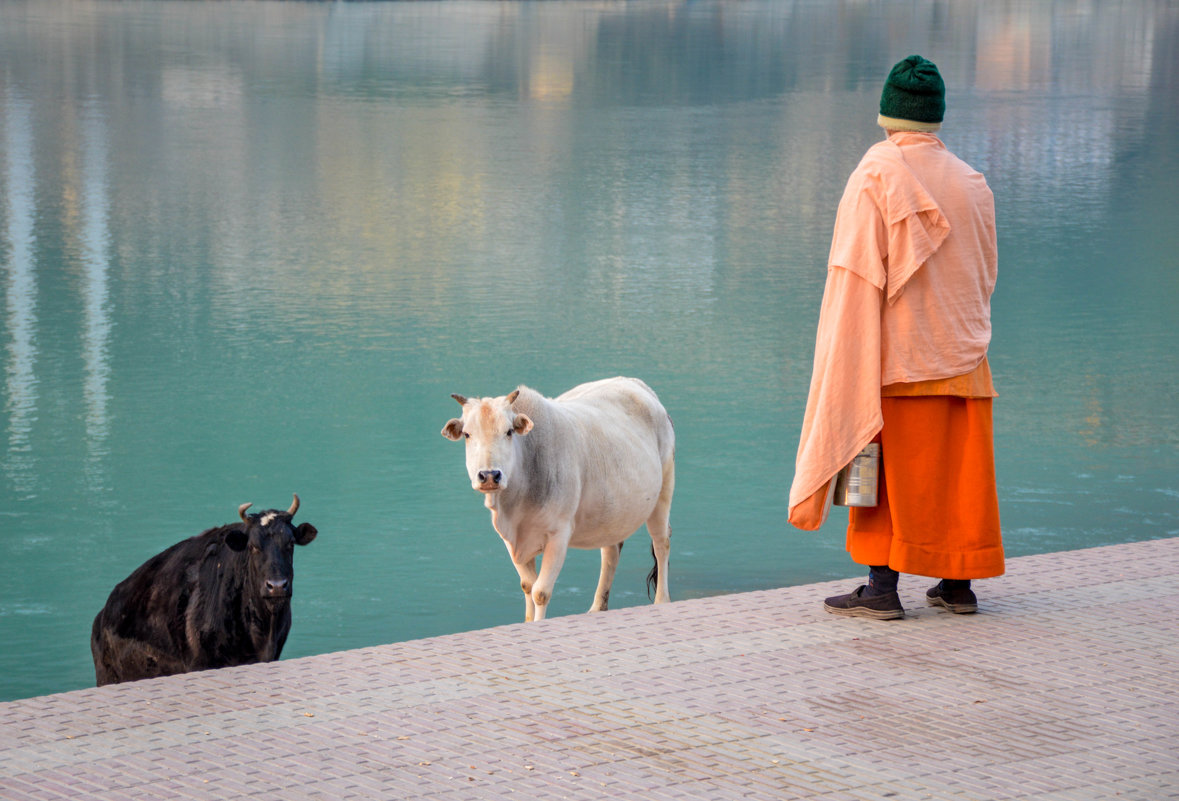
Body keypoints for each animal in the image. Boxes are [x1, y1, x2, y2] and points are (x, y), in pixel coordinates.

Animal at [90, 495, 318, 688]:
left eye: (290, 543)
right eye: (253, 546)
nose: (277, 585)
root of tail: (102, 617)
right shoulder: (200, 663)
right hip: (108, 677)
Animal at [443, 379, 679, 622]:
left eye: (509, 432)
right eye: (467, 434)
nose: (489, 475)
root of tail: (635, 383)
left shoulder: (559, 533)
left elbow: (540, 592)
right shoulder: (511, 538)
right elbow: (527, 585)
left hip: (664, 488)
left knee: (661, 542)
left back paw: (662, 600)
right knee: (611, 551)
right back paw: (597, 607)